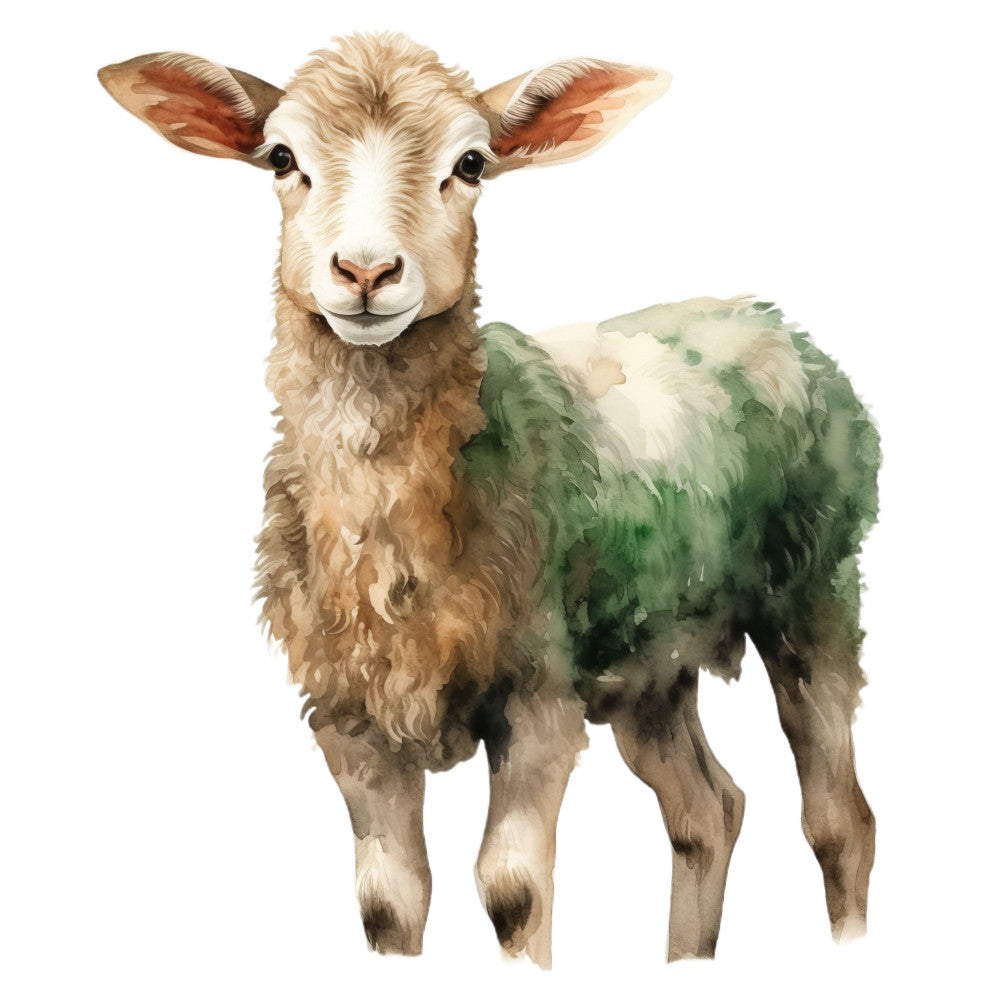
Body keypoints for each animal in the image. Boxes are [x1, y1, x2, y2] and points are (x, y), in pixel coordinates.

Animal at [99, 31, 878, 966]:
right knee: (707, 811)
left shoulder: (537, 692)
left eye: (470, 164)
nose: (366, 271)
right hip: (647, 656)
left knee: (838, 820)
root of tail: (765, 315)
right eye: (282, 158)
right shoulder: (349, 719)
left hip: (814, 590)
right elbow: (387, 904)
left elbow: (512, 891)